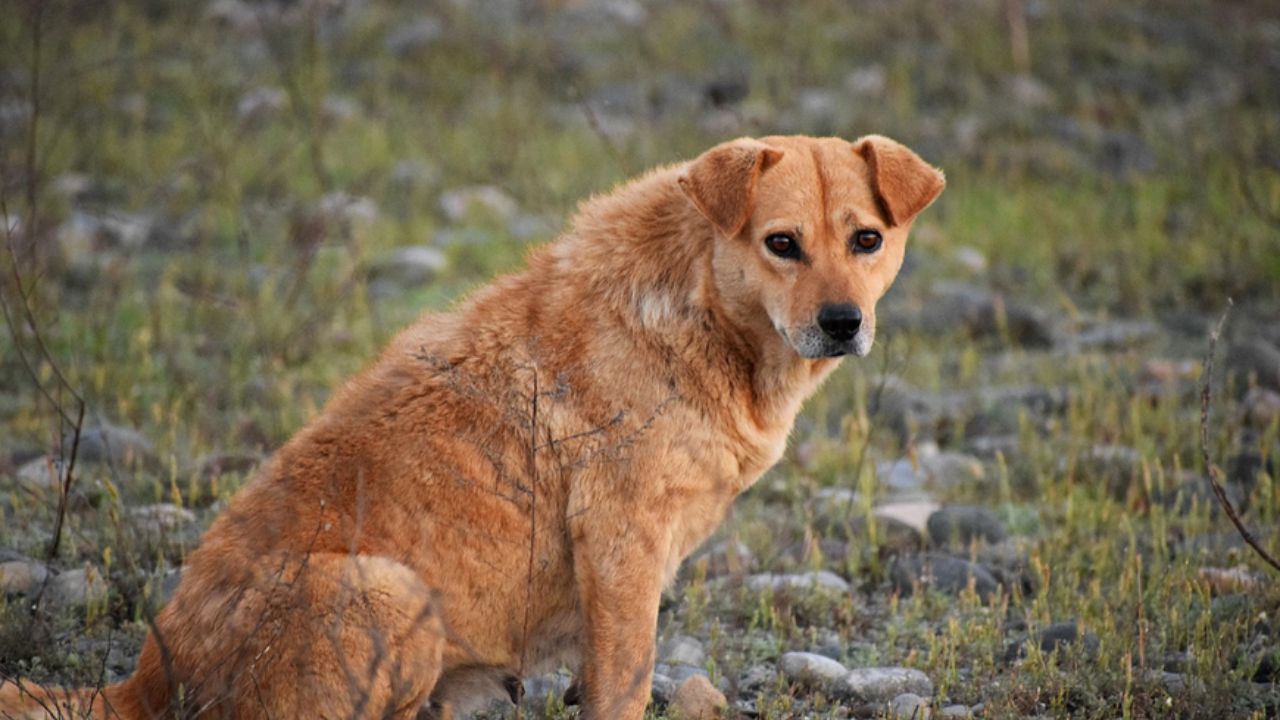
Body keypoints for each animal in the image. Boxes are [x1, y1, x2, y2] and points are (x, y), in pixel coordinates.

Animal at [0, 134, 942, 717]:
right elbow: (625, 683)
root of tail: (142, 685)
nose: (842, 323)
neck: (703, 312)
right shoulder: (622, 544)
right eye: (782, 243)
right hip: (391, 591)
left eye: (866, 239)